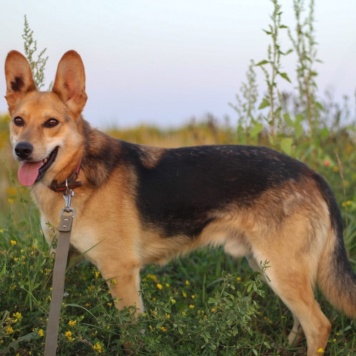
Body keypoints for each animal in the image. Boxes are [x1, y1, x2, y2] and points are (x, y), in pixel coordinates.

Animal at [3, 50, 356, 356]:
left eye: (51, 123)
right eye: (18, 121)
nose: (21, 150)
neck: (75, 175)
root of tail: (312, 174)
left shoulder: (121, 273)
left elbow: (132, 337)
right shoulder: (65, 258)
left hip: (281, 271)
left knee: (319, 325)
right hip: (272, 268)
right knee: (301, 320)